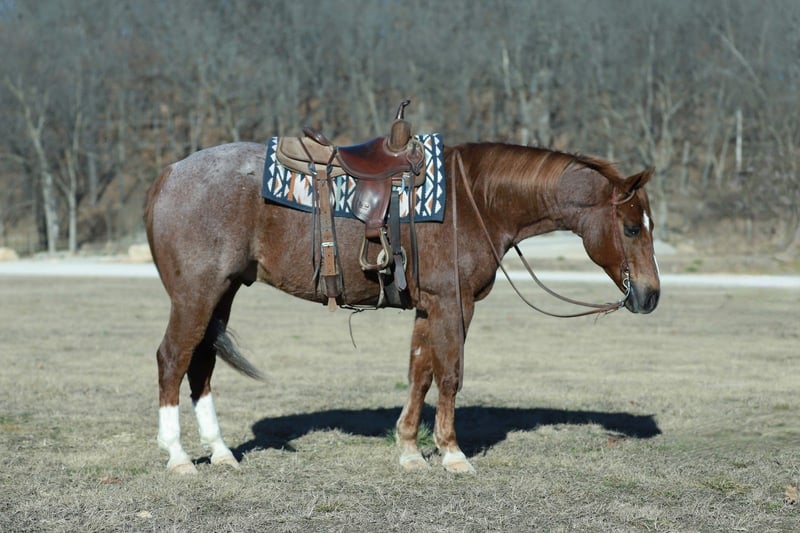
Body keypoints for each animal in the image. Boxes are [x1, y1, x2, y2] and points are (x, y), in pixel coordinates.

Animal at [144, 140, 660, 474]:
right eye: (632, 227)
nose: (651, 295)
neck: (475, 200)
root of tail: (170, 174)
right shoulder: (455, 304)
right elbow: (450, 374)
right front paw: (452, 454)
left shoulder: (429, 307)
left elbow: (420, 373)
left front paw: (410, 449)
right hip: (196, 294)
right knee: (172, 360)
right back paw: (179, 457)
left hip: (222, 293)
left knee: (201, 365)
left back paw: (221, 452)